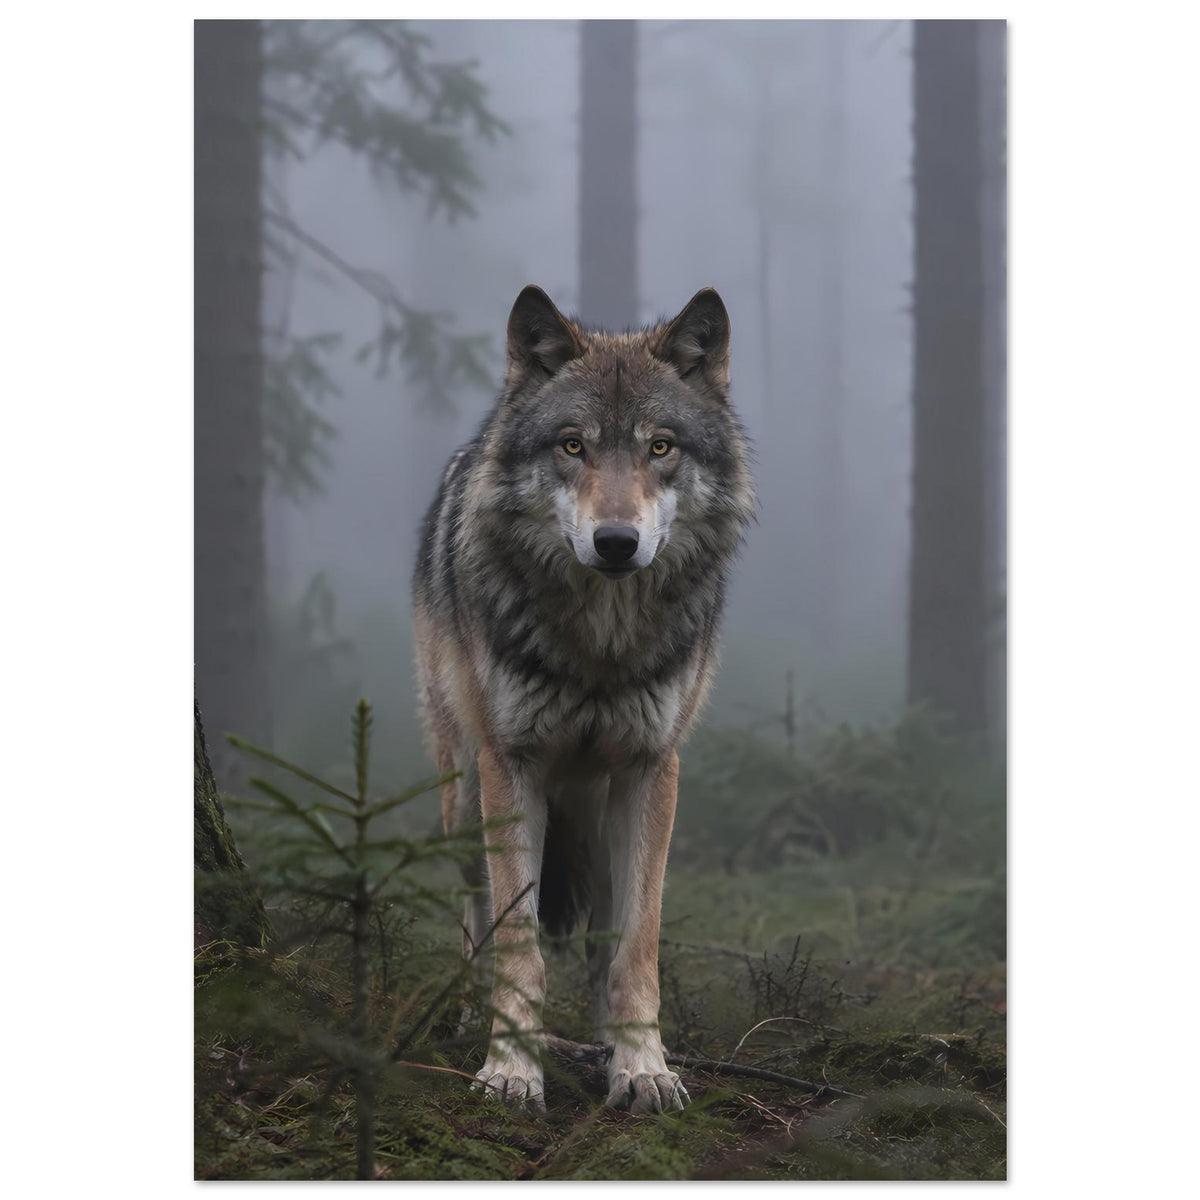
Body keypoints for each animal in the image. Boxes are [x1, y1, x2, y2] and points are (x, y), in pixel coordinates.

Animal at [413, 284, 754, 1113]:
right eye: (573, 446)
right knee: (474, 915)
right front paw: (510, 1069)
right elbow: (518, 944)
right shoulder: (513, 765)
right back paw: (464, 1016)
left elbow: (637, 948)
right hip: (464, 796)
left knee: (603, 935)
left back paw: (605, 1042)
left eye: (660, 447)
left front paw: (643, 1066)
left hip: (598, 815)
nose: (616, 543)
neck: (601, 644)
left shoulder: (651, 769)